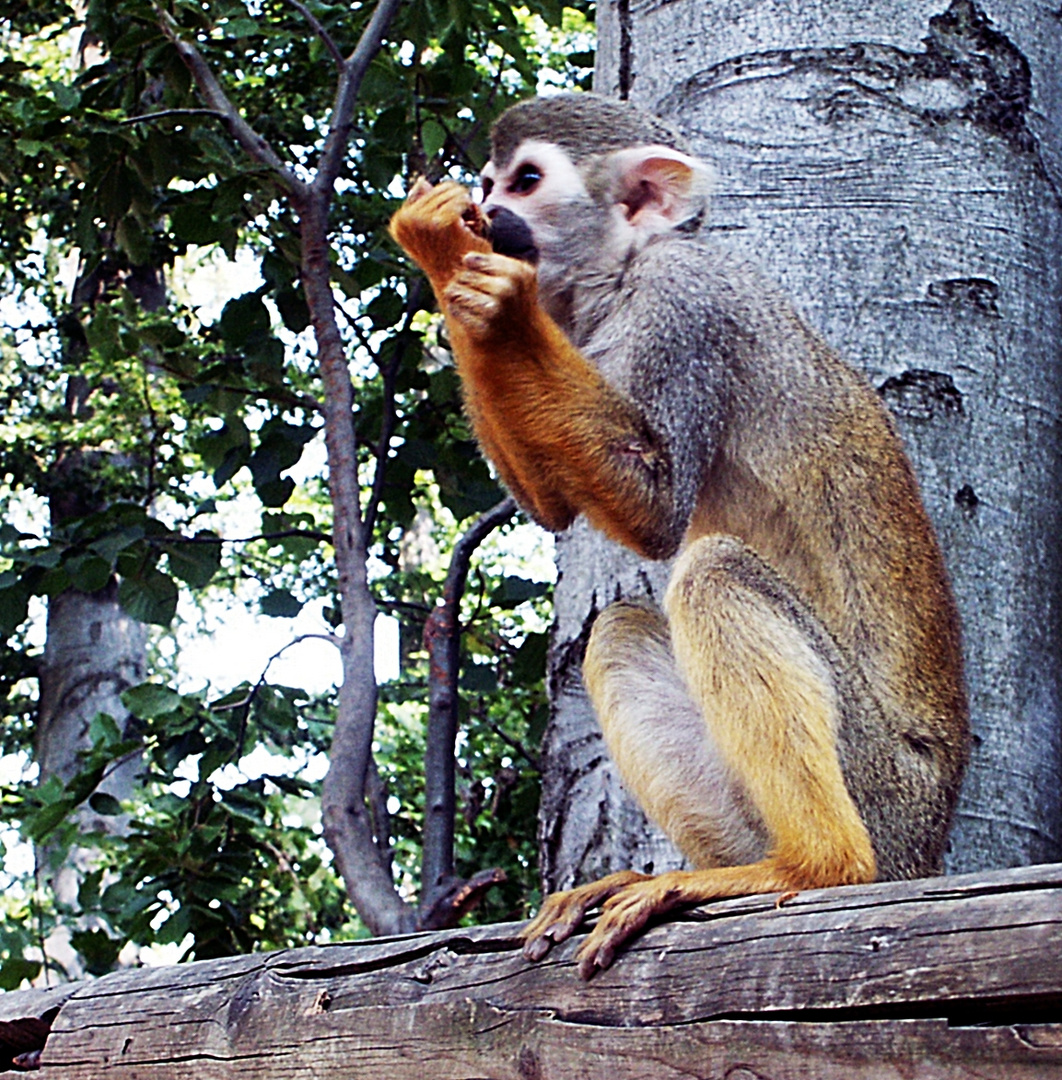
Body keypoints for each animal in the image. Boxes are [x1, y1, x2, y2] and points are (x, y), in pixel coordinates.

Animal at [393, 95, 972, 980]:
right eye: (490, 184)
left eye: (525, 182)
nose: (490, 215)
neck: (626, 277)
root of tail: (930, 852)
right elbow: (556, 509)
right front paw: (455, 273)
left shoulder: (685, 304)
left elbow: (656, 510)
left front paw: (489, 293)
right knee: (624, 627)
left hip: (886, 796)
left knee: (714, 572)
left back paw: (816, 864)